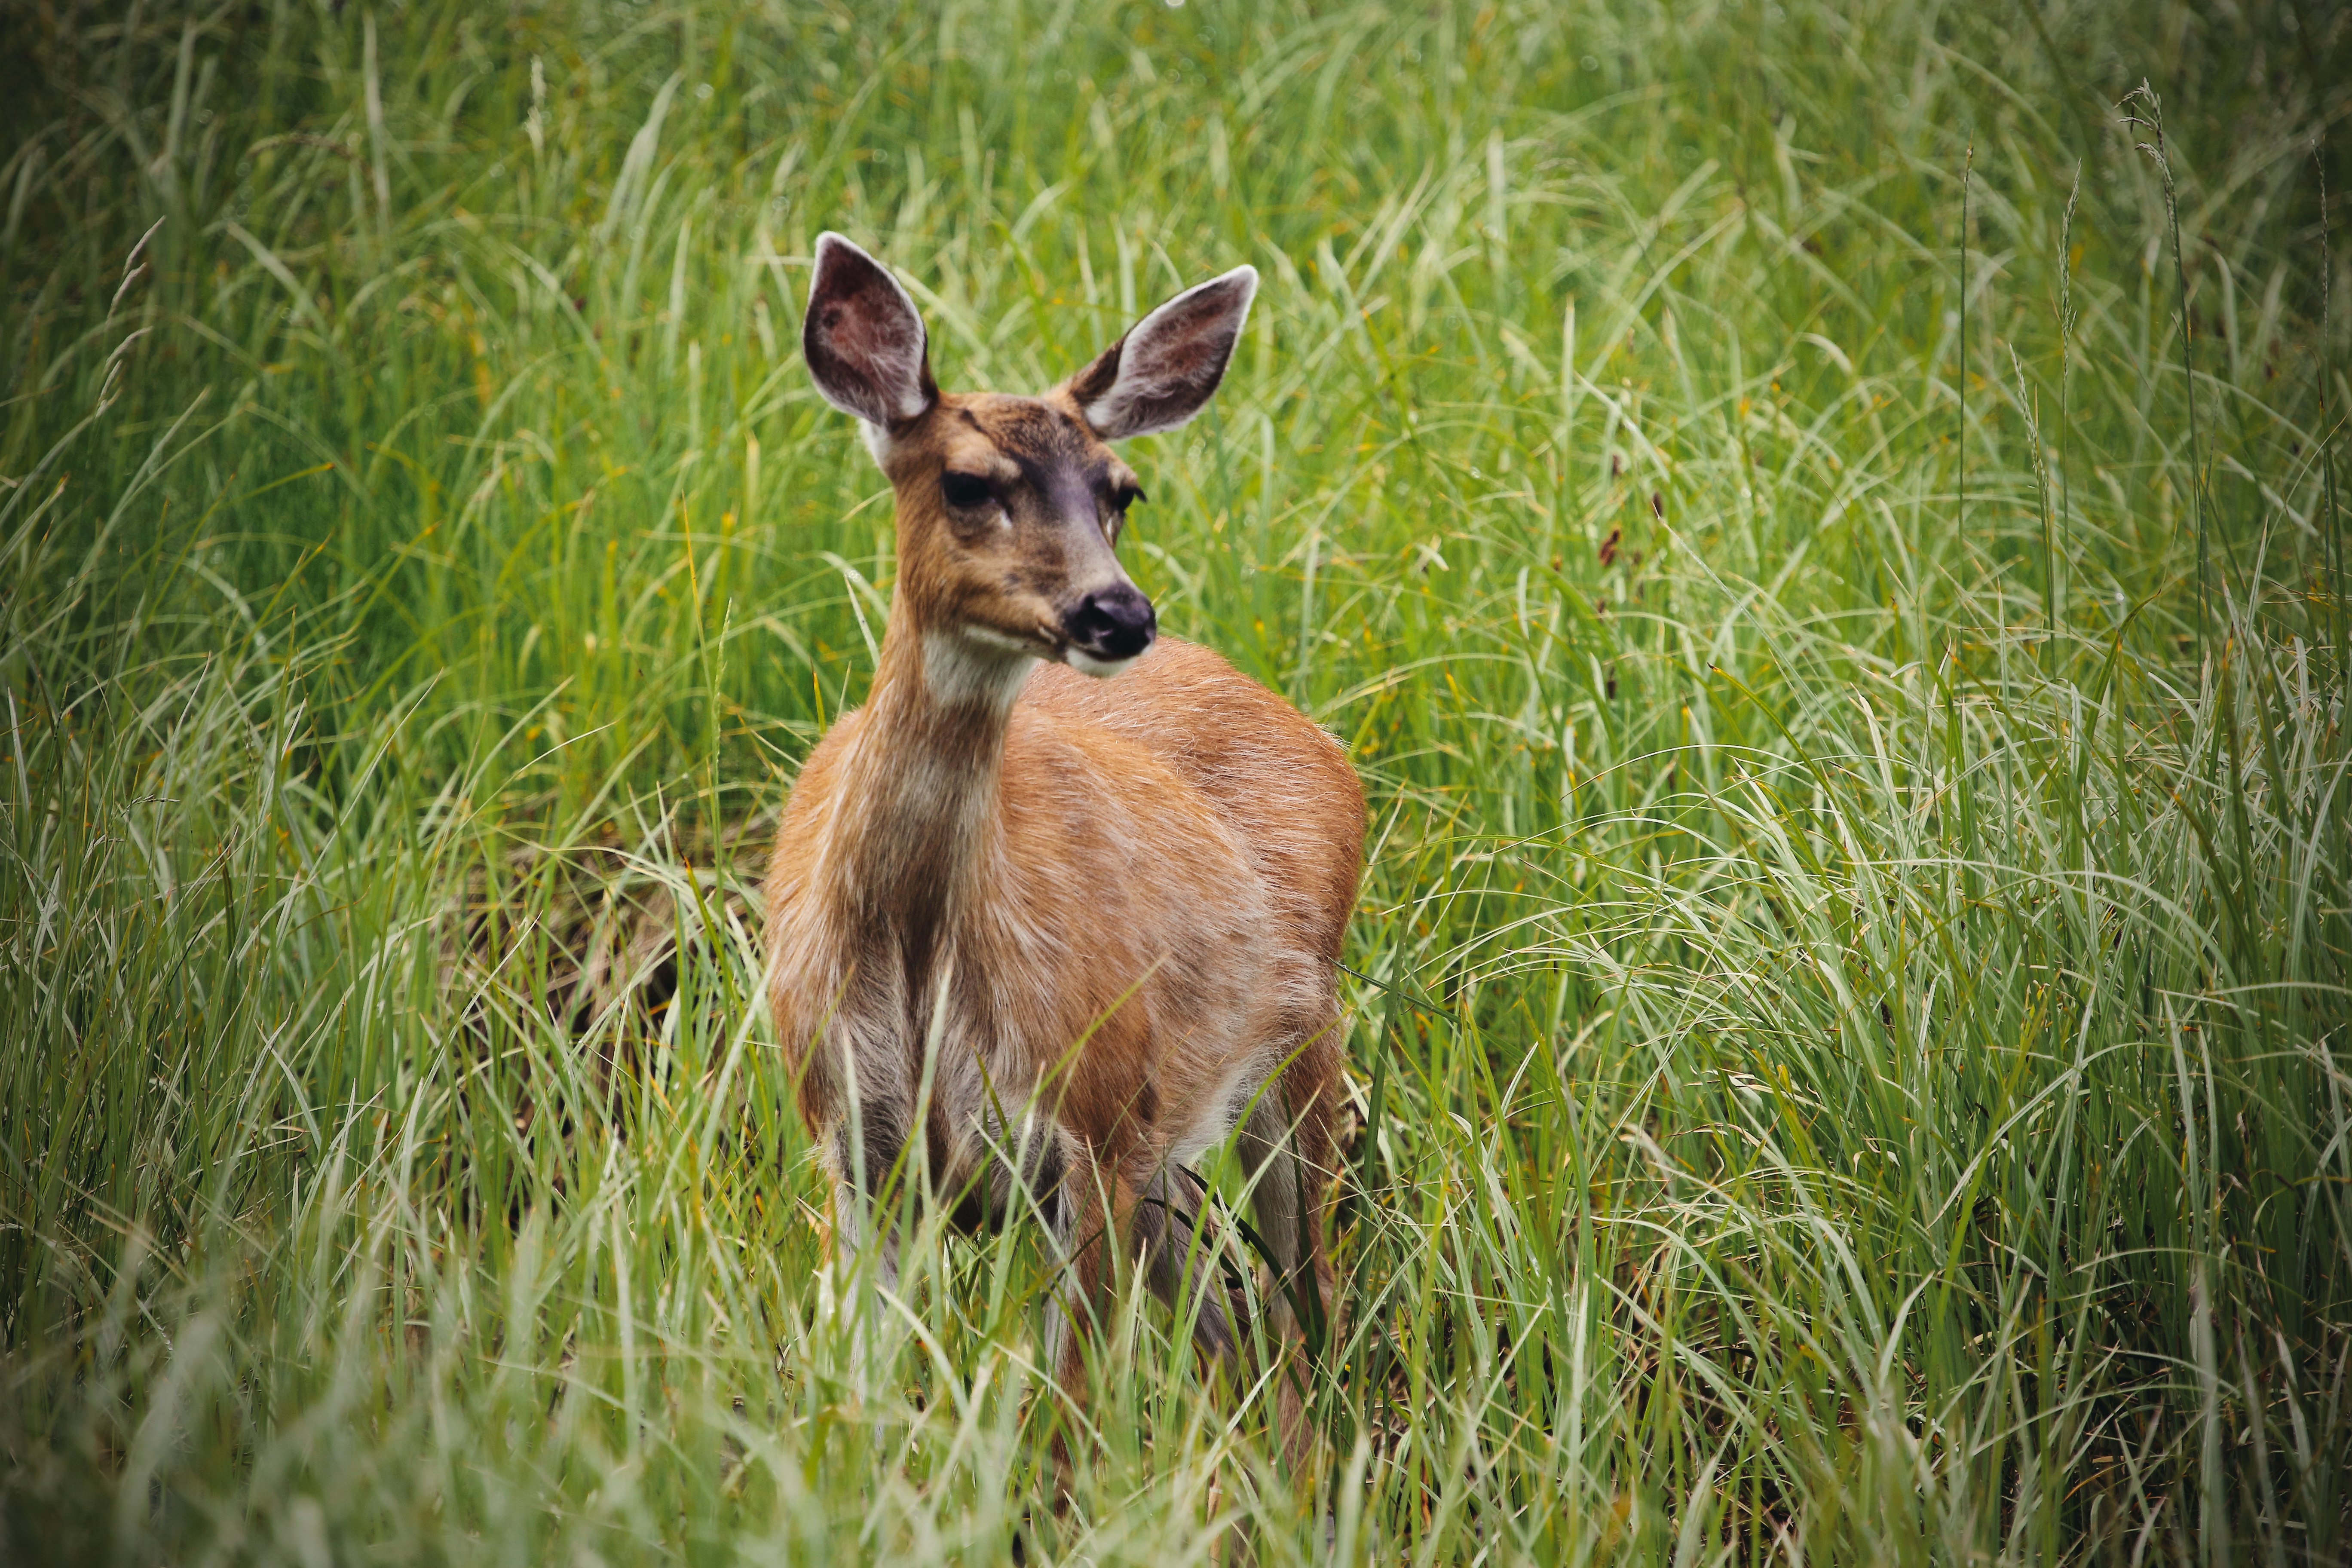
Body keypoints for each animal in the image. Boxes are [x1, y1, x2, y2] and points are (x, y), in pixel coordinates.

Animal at [762, 233, 1373, 1476]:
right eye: (966, 482)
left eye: (1119, 491)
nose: (1116, 613)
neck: (920, 964)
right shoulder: (851, 1146)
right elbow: (861, 1400)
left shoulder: (1085, 1133)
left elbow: (1063, 1421)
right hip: (1167, 1148)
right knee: (1236, 1325)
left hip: (1292, 1049)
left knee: (1304, 1309)